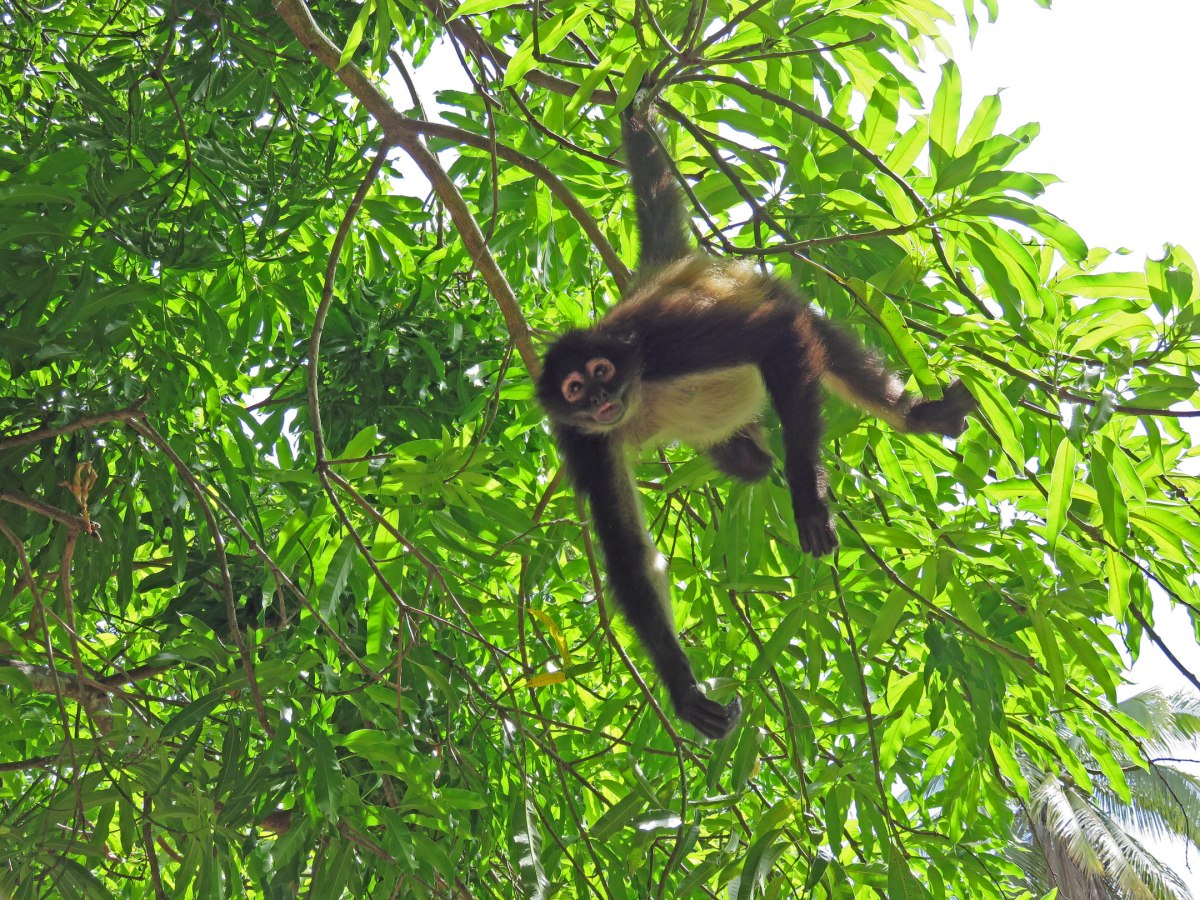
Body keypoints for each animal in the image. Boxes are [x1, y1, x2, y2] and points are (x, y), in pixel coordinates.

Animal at [536, 95, 975, 740]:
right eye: (574, 388)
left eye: (600, 371)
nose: (599, 399)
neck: (636, 392)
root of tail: (666, 270)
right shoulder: (582, 440)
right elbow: (630, 556)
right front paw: (683, 690)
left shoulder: (659, 344)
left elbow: (777, 334)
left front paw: (809, 498)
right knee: (748, 456)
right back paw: (746, 452)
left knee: (808, 338)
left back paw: (915, 416)